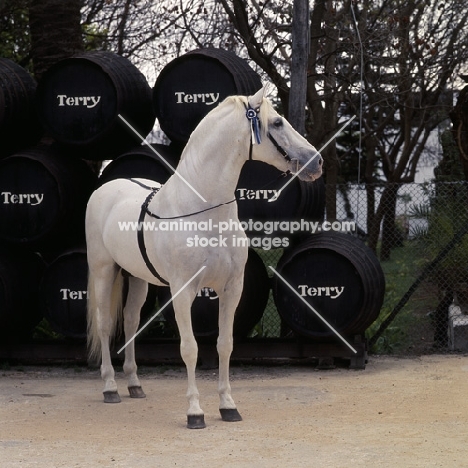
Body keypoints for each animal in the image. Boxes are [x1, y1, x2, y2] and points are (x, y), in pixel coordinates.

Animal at [85, 86, 322, 430]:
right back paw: (110, 387)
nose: (316, 162)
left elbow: (225, 345)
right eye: (277, 122)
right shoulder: (183, 292)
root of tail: (106, 189)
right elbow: (190, 348)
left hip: (138, 278)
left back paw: (134, 384)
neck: (203, 211)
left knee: (130, 322)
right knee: (105, 324)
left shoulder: (232, 289)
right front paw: (195, 412)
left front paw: (228, 406)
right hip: (105, 271)